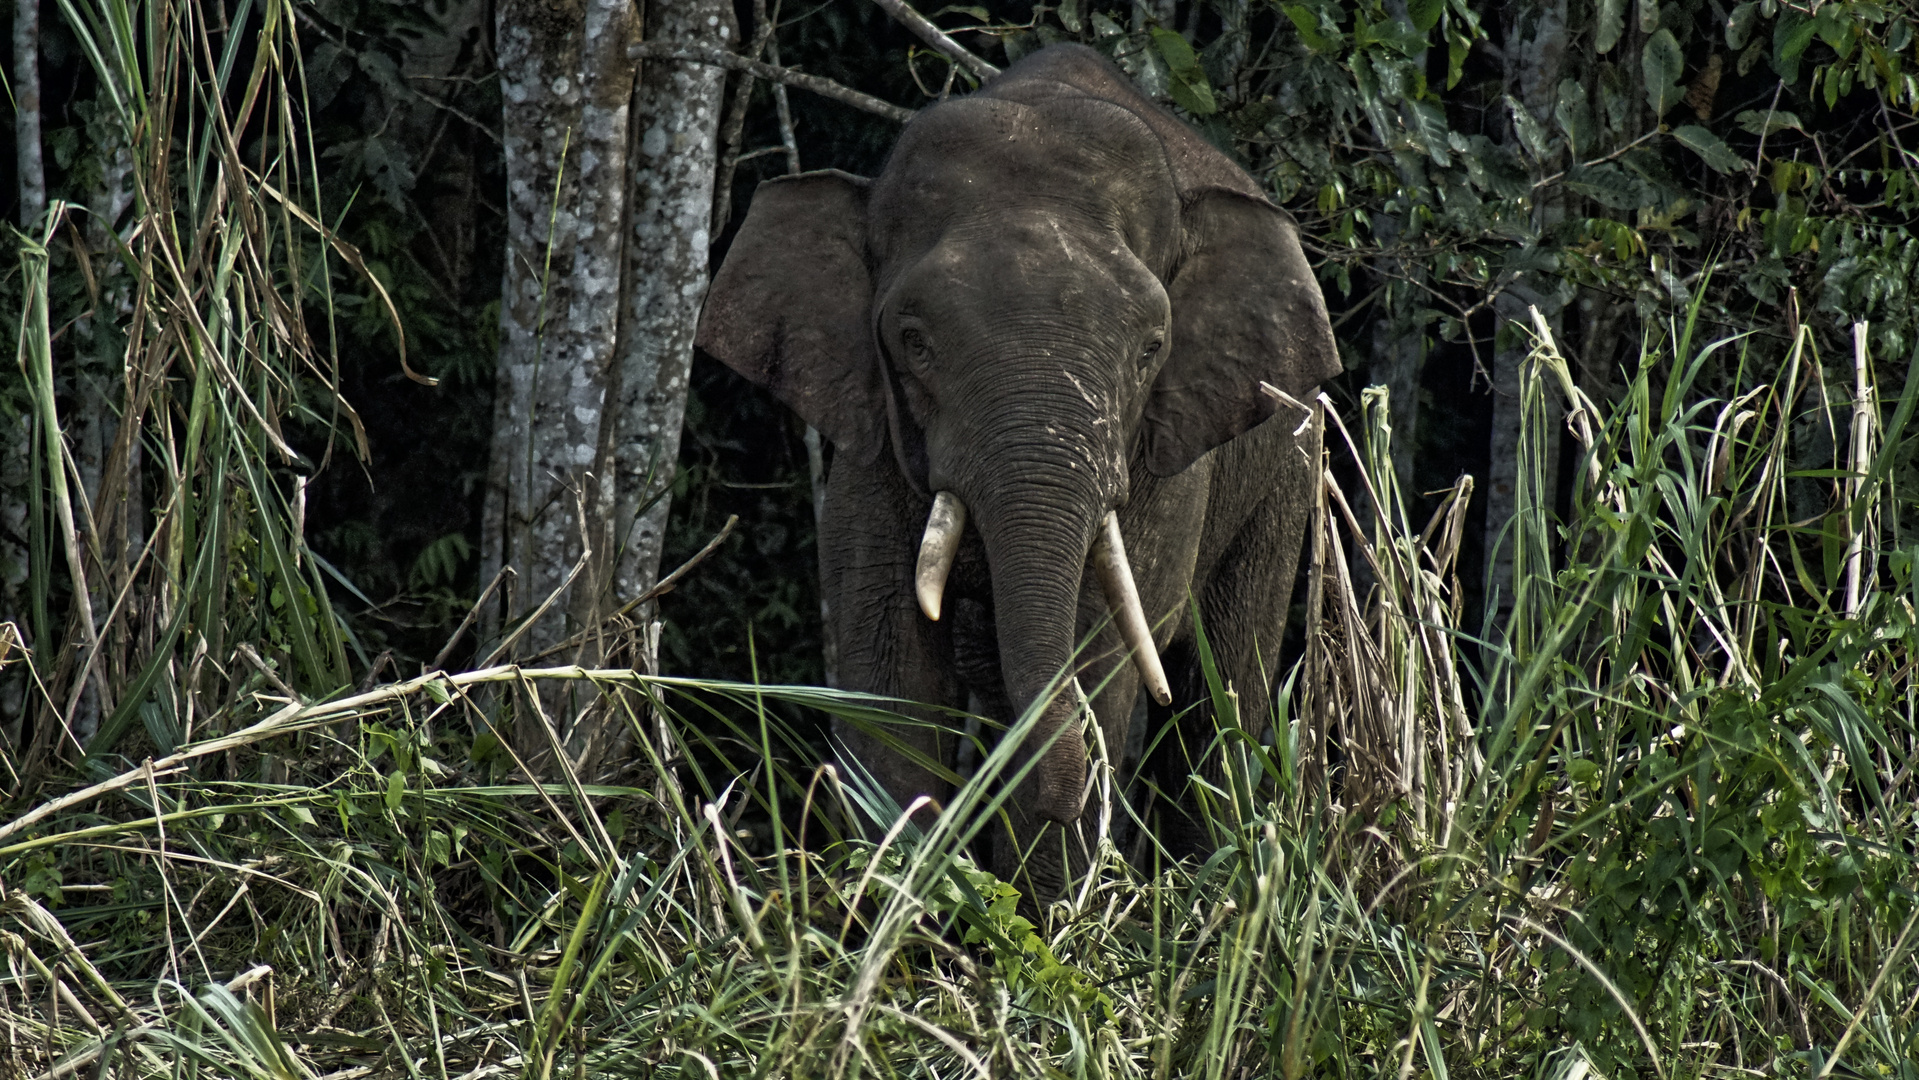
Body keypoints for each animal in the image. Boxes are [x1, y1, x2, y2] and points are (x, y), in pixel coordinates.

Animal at [698, 42, 1343, 901]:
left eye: (1152, 347)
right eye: (913, 341)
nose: (1071, 802)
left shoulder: (1161, 462)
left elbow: (1095, 653)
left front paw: (1042, 917)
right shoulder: (871, 448)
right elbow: (894, 675)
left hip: (1286, 466)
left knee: (1221, 692)